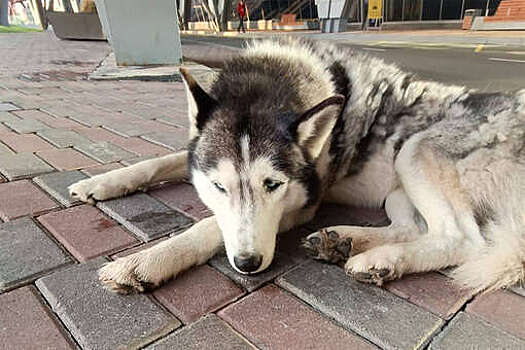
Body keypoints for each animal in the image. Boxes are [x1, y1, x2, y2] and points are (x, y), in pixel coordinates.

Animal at [69, 37, 524, 294]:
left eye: (273, 185)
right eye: (218, 187)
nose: (248, 264)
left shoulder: (302, 204)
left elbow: (208, 227)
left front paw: (144, 262)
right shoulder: (195, 157)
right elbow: (158, 161)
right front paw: (101, 182)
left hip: (414, 151)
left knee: (462, 238)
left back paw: (377, 259)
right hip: (397, 187)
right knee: (414, 227)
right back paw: (345, 241)